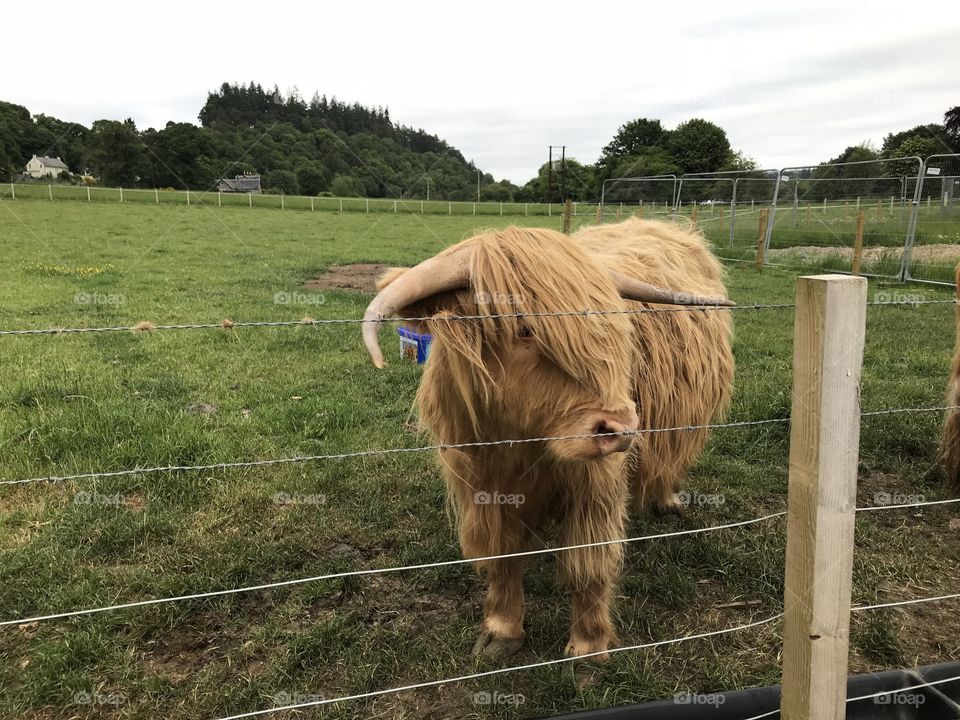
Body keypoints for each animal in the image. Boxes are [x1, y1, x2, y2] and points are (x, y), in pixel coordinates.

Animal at [361, 217, 735, 663]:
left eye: (616, 327)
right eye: (525, 328)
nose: (622, 428)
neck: (519, 443)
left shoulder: (596, 484)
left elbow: (589, 562)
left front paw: (588, 647)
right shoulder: (481, 484)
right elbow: (503, 554)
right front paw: (502, 629)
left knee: (670, 459)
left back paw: (666, 500)